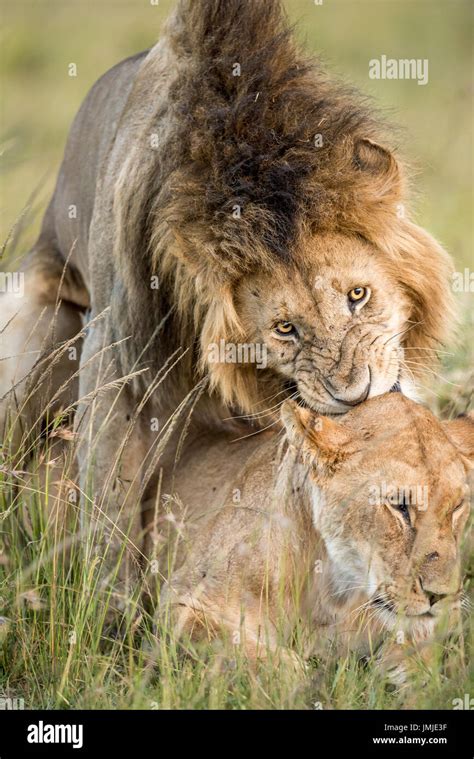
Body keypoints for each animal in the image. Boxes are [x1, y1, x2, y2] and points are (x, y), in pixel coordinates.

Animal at [0, 0, 456, 592]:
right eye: (285, 329)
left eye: (359, 295)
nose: (355, 395)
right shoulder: (113, 351)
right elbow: (108, 507)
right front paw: (110, 607)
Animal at [160, 394, 474, 680]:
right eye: (399, 505)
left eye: (457, 506)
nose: (440, 595)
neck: (331, 591)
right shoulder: (180, 601)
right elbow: (264, 659)